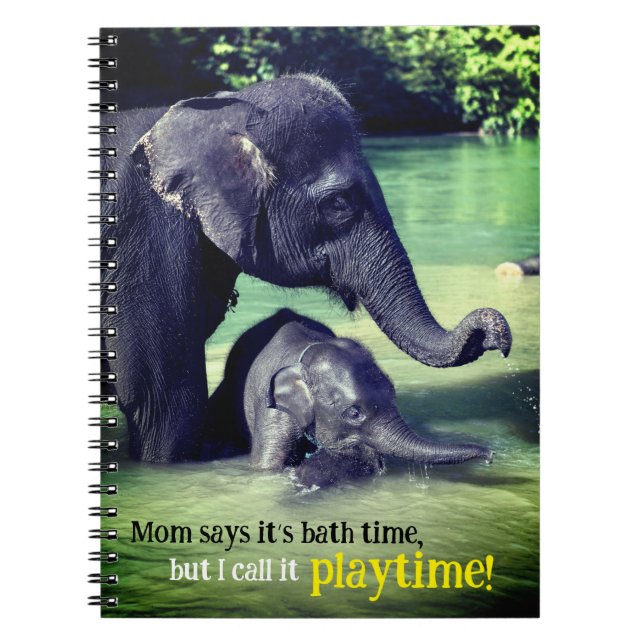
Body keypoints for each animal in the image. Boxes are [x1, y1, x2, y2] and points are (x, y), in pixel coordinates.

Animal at [204, 308, 494, 488]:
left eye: (393, 394)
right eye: (354, 413)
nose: (490, 455)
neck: (308, 353)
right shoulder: (273, 411)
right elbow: (266, 467)